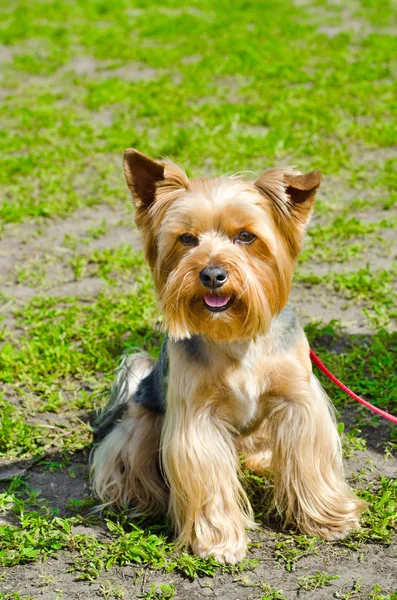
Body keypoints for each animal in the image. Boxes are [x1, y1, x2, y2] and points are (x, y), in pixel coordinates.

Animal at [90, 150, 366, 564]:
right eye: (187, 239)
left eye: (247, 236)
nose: (212, 274)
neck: (236, 336)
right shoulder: (195, 417)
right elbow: (208, 479)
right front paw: (217, 543)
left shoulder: (298, 400)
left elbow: (309, 461)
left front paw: (330, 519)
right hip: (143, 421)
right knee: (125, 457)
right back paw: (138, 495)